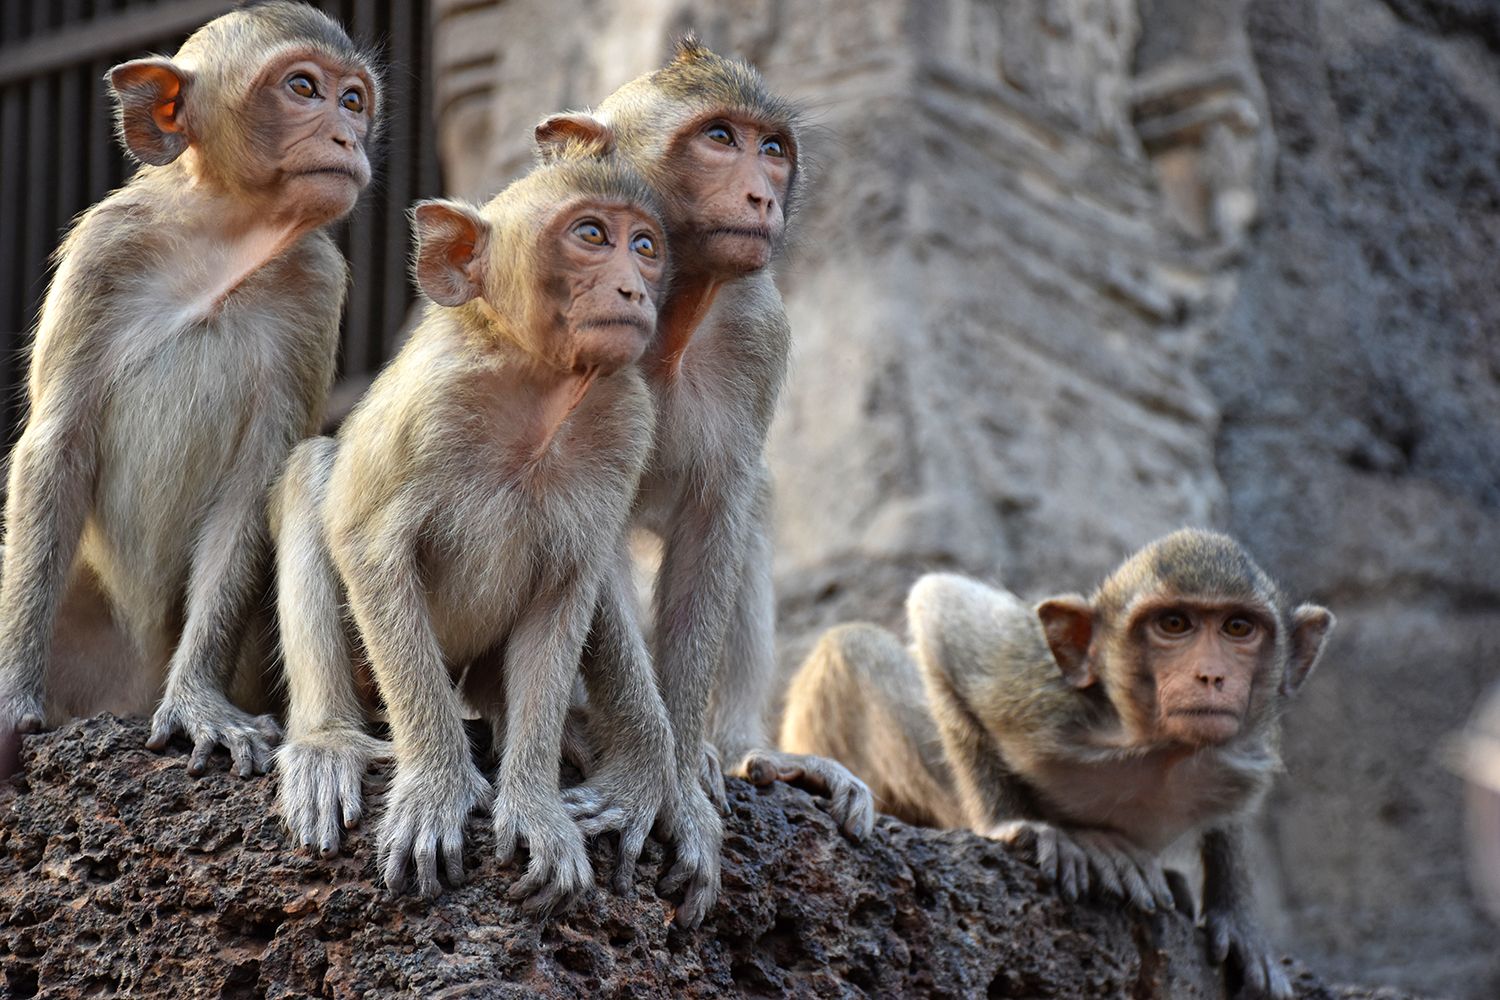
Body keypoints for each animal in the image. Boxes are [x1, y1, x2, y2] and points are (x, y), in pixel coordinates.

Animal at [0, 0, 381, 779]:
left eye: (354, 100)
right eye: (304, 88)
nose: (346, 134)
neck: (225, 238)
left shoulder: (317, 284)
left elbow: (253, 483)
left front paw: (198, 704)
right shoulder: (103, 250)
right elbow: (57, 445)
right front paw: (10, 694)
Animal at [274, 156, 681, 917]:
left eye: (644, 246)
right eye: (591, 234)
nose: (633, 287)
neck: (540, 388)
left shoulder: (628, 419)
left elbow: (567, 592)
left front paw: (534, 804)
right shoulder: (431, 403)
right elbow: (369, 547)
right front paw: (438, 786)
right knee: (314, 473)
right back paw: (327, 740)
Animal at [534, 37, 876, 929]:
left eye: (772, 147)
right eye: (719, 137)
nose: (762, 194)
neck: (674, 303)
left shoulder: (760, 328)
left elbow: (718, 519)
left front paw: (682, 777)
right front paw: (645, 773)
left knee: (756, 503)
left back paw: (746, 750)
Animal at [780, 527, 1332, 995]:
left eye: (1238, 627)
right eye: (1174, 624)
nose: (1211, 676)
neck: (1160, 749)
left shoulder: (1244, 752)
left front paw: (1236, 914)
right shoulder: (1040, 698)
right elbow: (939, 606)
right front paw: (1011, 824)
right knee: (851, 645)